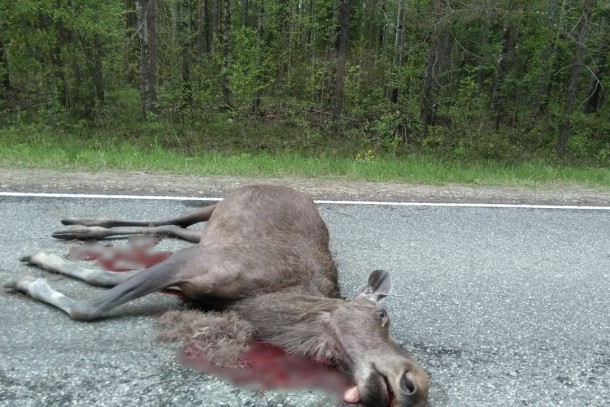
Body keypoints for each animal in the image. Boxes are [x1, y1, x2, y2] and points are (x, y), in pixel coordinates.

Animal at [8, 186, 428, 407]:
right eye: (382, 317)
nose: (416, 384)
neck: (261, 302)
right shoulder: (195, 263)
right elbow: (88, 305)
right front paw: (31, 277)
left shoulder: (194, 280)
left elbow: (101, 278)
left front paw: (41, 262)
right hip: (214, 207)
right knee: (170, 220)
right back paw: (79, 225)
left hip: (207, 232)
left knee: (168, 227)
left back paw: (78, 229)